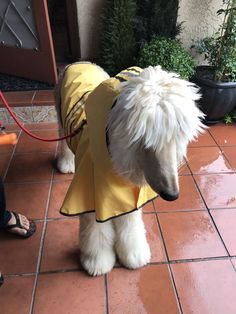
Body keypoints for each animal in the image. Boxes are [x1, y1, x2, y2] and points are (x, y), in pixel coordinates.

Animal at [55, 62, 205, 276]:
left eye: (177, 137)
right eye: (146, 141)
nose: (172, 195)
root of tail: (79, 62)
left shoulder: (127, 196)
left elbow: (130, 226)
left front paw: (135, 255)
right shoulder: (90, 194)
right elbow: (95, 231)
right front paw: (97, 262)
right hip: (60, 117)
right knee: (63, 141)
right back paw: (66, 163)